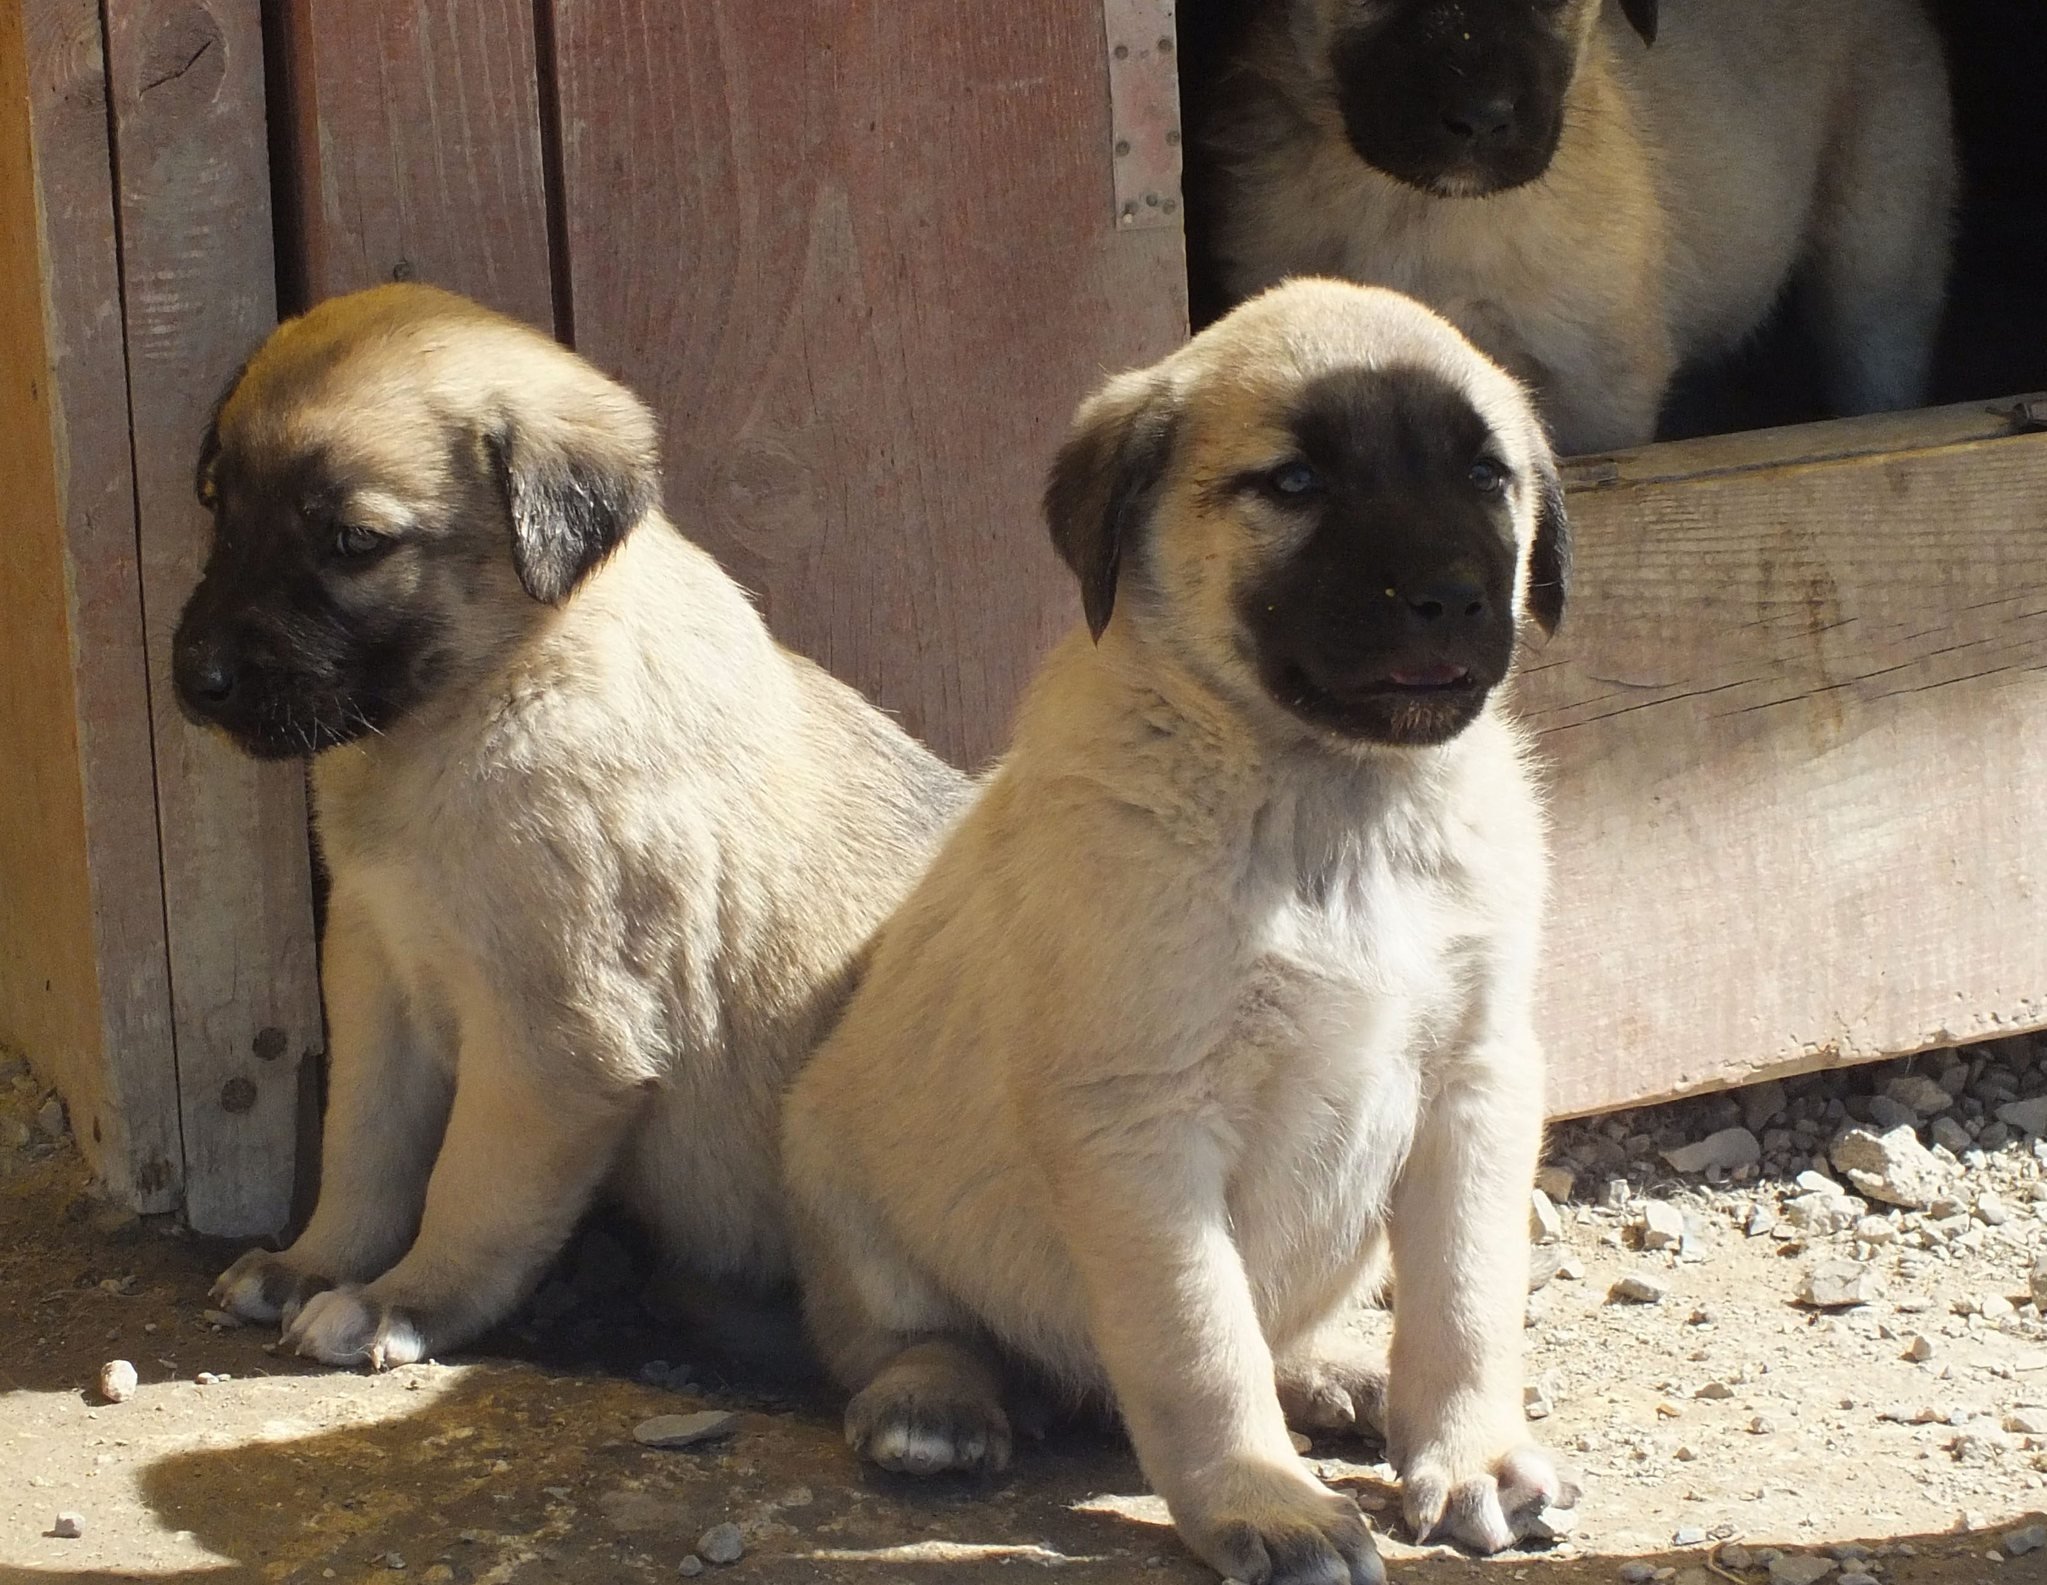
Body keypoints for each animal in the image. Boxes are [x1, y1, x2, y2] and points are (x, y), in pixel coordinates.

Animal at [176, 282, 966, 1367]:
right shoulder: (378, 976)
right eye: (220, 505)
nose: (195, 681)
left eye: (354, 542)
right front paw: (313, 1263)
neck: (484, 696)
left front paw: (399, 1300)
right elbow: (365, 1149)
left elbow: (470, 1188)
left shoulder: (552, 1038)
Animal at [781, 278, 1563, 1580]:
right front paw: (1263, 1501)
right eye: (1292, 483)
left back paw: (1335, 1372)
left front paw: (1470, 1456)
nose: (1452, 594)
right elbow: (1200, 1343)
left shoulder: (1477, 1078)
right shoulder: (1140, 1122)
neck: (1324, 798)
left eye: (1485, 474)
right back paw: (932, 1402)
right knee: (899, 1332)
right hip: (836, 1170)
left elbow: (1463, 1299)